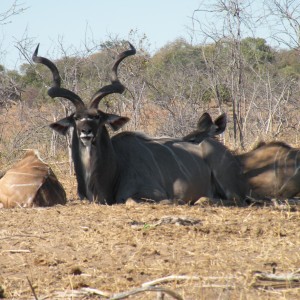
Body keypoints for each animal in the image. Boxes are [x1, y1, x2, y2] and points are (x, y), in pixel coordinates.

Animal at [32, 43, 247, 205]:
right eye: (76, 117)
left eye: (98, 117)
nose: (86, 132)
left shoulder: (152, 192)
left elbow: (131, 200)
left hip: (227, 185)